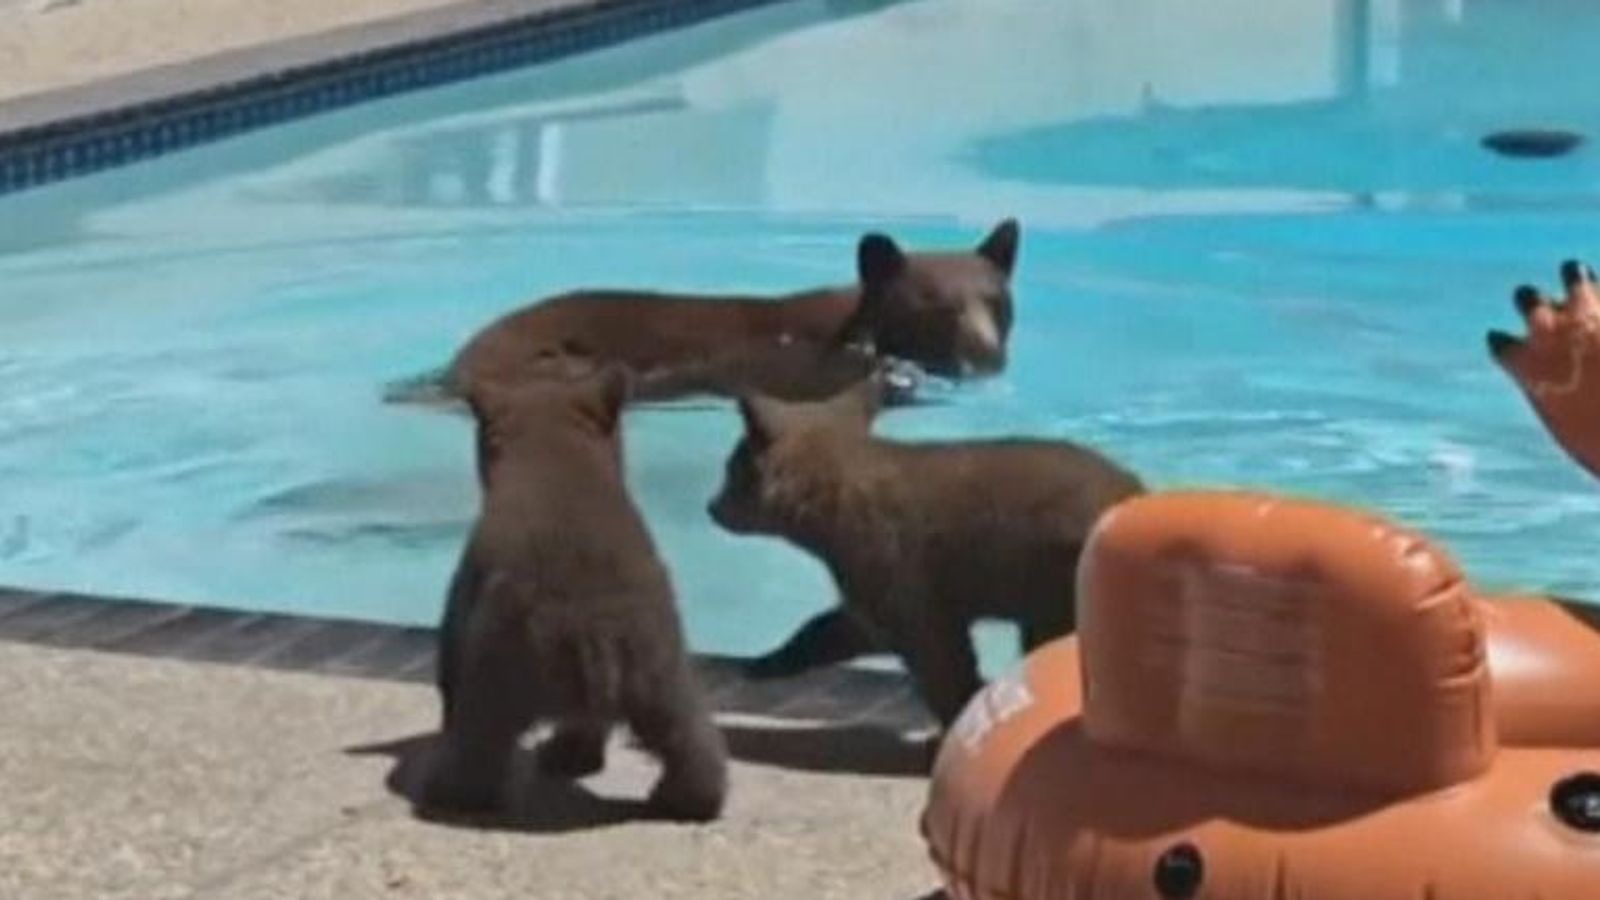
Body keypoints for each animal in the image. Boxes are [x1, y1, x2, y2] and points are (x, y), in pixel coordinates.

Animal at [423, 364, 727, 821]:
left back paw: (450, 791)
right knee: (686, 735)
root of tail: (593, 630)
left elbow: (449, 662)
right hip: (661, 669)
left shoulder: (468, 585)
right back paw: (685, 796)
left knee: (480, 738)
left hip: (500, 666)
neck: (556, 454)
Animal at [706, 379, 1145, 729]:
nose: (712, 507)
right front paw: (767, 662)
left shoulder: (891, 563)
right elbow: (838, 627)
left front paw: (962, 713)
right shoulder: (873, 585)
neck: (830, 506)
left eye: (729, 470)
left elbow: (937, 654)